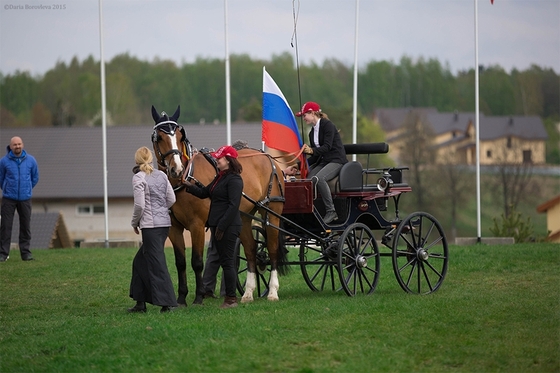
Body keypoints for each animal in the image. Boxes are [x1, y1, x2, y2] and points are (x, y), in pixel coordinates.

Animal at [151, 105, 286, 306]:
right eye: (159, 137)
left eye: (180, 136)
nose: (176, 169)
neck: (185, 179)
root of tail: (269, 158)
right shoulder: (174, 228)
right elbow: (180, 262)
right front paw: (181, 298)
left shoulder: (197, 225)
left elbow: (197, 261)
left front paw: (199, 297)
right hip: (243, 217)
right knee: (251, 250)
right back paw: (248, 293)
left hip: (272, 212)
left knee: (272, 248)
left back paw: (273, 291)